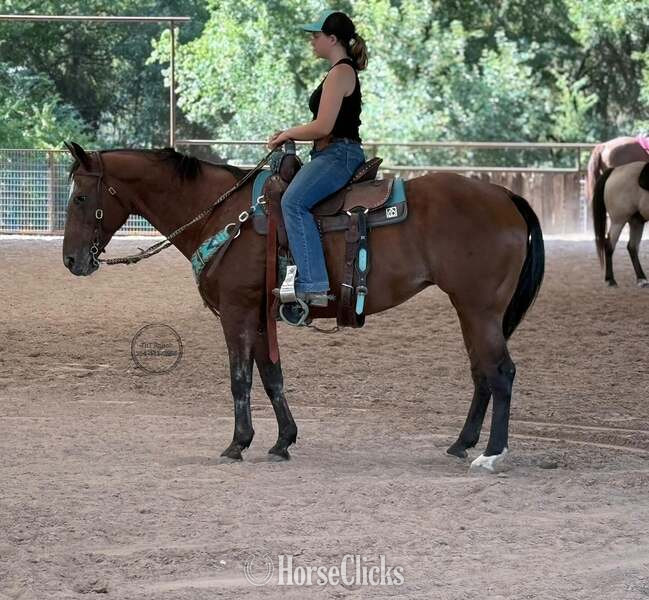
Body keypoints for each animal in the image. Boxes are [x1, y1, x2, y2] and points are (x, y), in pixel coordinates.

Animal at [62, 141, 544, 473]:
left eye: (81, 197)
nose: (71, 260)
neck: (224, 216)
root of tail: (505, 196)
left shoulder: (236, 311)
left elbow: (240, 379)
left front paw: (237, 443)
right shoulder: (259, 314)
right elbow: (271, 377)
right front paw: (282, 442)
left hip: (479, 309)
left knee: (500, 372)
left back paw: (492, 454)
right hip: (472, 310)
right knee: (481, 371)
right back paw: (462, 443)